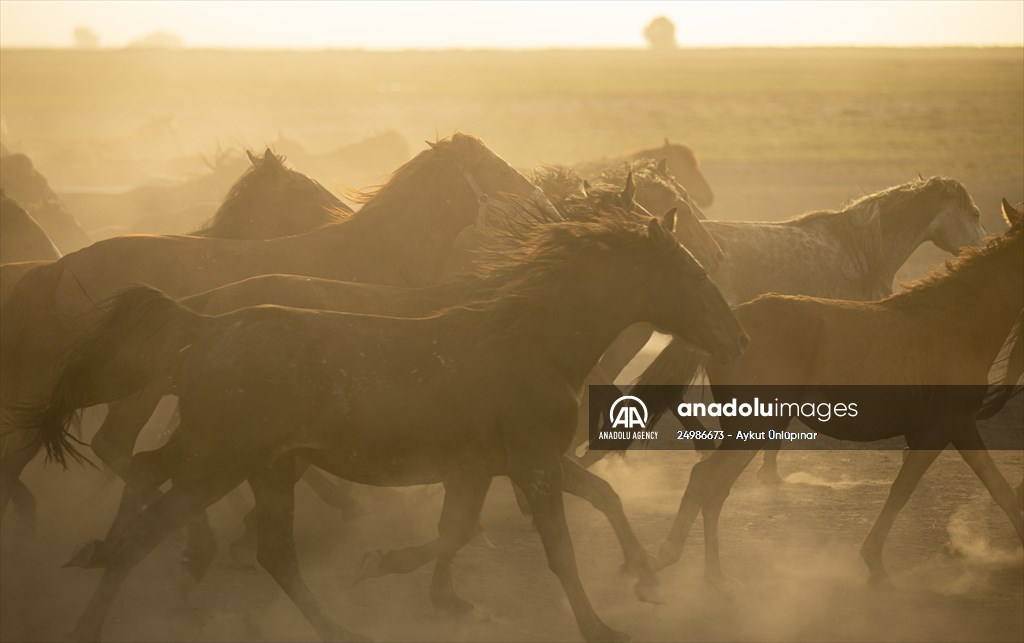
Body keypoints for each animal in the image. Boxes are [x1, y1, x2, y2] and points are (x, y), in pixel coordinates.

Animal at [0, 133, 554, 520]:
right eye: (493, 165)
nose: (544, 201)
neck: (372, 256)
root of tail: (59, 267)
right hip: (133, 387)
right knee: (111, 447)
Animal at [32, 210, 747, 642]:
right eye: (691, 272)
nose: (736, 338)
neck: (532, 344)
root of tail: (203, 325)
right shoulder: (532, 464)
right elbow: (559, 551)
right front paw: (605, 622)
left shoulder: (486, 467)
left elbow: (471, 527)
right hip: (220, 462)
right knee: (147, 532)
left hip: (262, 465)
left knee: (266, 548)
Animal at [618, 201, 1022, 589]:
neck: (954, 324)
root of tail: (734, 328)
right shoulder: (946, 426)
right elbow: (903, 490)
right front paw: (874, 564)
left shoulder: (947, 428)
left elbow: (999, 489)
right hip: (751, 428)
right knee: (706, 481)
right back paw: (678, 560)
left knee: (714, 490)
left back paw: (713, 575)